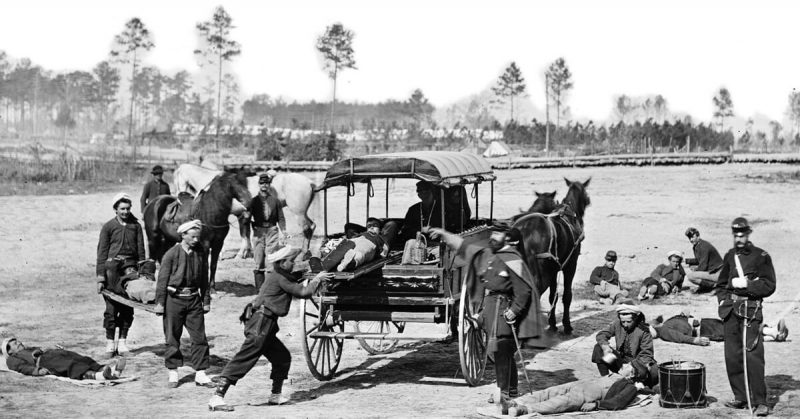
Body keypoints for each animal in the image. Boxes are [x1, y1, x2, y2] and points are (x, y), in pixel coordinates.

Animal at [173, 163, 318, 260]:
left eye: (177, 179)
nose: (179, 195)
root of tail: (309, 182)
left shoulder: (239, 215)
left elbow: (243, 234)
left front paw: (236, 254)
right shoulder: (242, 215)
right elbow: (246, 233)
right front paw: (247, 252)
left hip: (298, 213)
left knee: (307, 228)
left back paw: (303, 254)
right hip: (303, 213)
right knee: (312, 225)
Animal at [510, 179, 592, 336]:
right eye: (586, 196)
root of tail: (523, 230)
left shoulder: (554, 269)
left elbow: (553, 295)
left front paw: (553, 324)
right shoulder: (570, 265)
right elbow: (567, 296)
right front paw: (566, 325)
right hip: (541, 275)